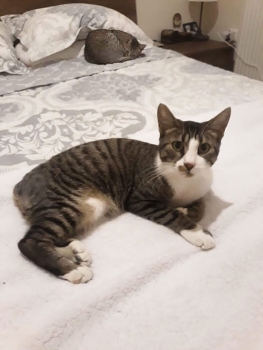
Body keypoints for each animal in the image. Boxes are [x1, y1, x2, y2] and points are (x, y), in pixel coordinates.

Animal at [13, 102, 231, 284]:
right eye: (177, 145)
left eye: (204, 148)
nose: (189, 164)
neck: (185, 183)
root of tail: (20, 185)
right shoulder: (138, 199)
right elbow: (170, 214)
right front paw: (197, 232)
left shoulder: (200, 191)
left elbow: (200, 207)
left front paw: (187, 210)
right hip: (71, 203)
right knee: (30, 241)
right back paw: (72, 270)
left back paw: (76, 251)